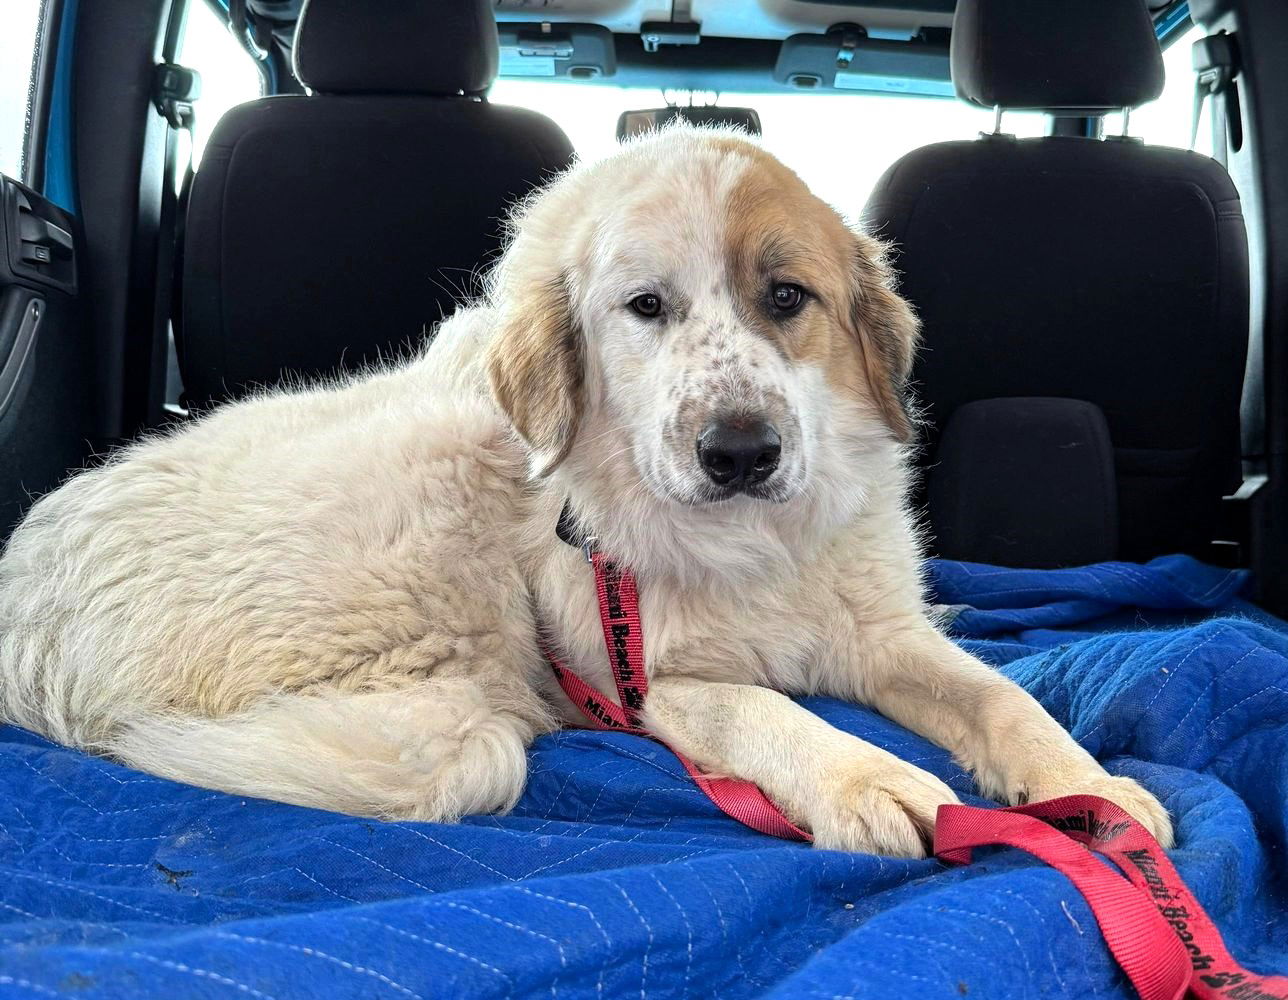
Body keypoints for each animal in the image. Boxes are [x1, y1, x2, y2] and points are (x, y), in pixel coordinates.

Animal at [0, 128, 1174, 855]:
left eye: (785, 297)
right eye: (645, 307)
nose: (739, 450)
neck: (746, 542)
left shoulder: (879, 634)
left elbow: (1001, 698)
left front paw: (1092, 791)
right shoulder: (647, 679)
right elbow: (761, 706)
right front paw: (864, 777)